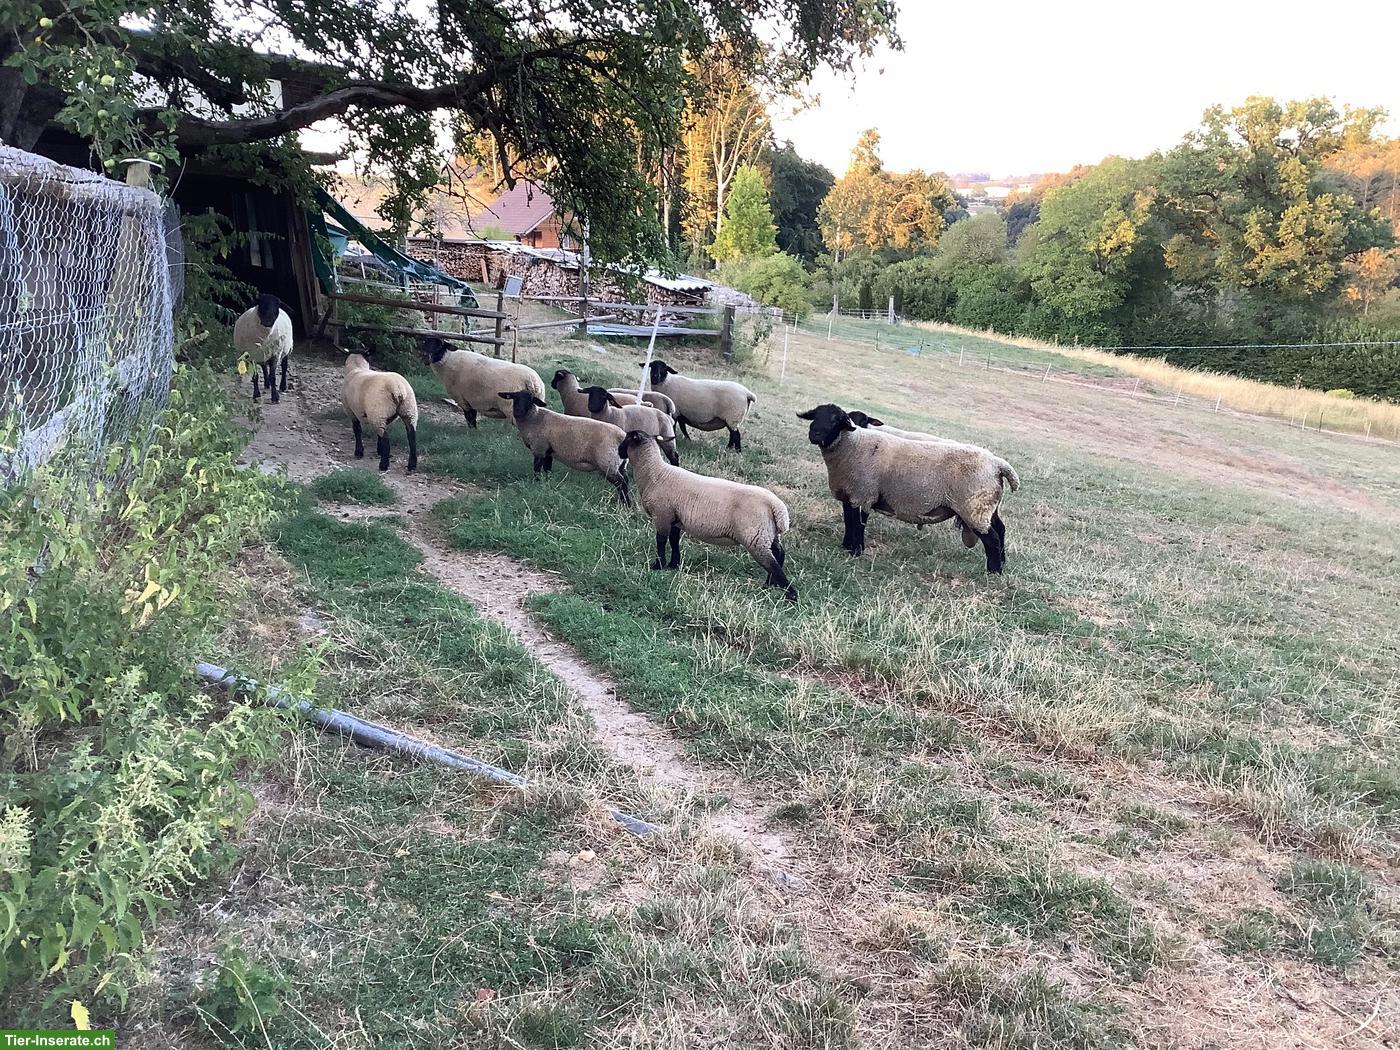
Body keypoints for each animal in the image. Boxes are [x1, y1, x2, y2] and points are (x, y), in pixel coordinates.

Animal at [497, 390, 630, 503]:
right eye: (515, 398)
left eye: (530, 400)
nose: (517, 411)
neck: (535, 417)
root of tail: (622, 435)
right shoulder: (548, 451)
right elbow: (547, 470)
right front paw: (546, 484)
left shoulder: (539, 448)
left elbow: (537, 470)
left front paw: (536, 483)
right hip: (621, 464)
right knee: (626, 480)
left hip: (608, 463)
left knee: (621, 483)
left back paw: (625, 504)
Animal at [617, 429, 796, 600]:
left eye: (627, 439)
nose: (618, 451)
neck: (655, 473)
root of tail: (777, 506)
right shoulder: (675, 518)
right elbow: (674, 541)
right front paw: (674, 564)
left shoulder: (662, 515)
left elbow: (660, 541)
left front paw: (658, 566)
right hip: (768, 533)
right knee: (779, 554)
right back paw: (769, 585)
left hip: (755, 537)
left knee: (772, 563)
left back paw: (790, 595)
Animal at [797, 402, 1019, 573]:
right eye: (815, 415)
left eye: (837, 419)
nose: (815, 433)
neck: (853, 444)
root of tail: (998, 464)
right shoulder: (850, 494)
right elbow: (848, 520)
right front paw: (846, 546)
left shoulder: (864, 494)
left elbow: (858, 524)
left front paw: (856, 551)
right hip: (986, 505)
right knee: (1000, 529)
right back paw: (1003, 563)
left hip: (973, 508)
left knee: (992, 539)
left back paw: (994, 572)